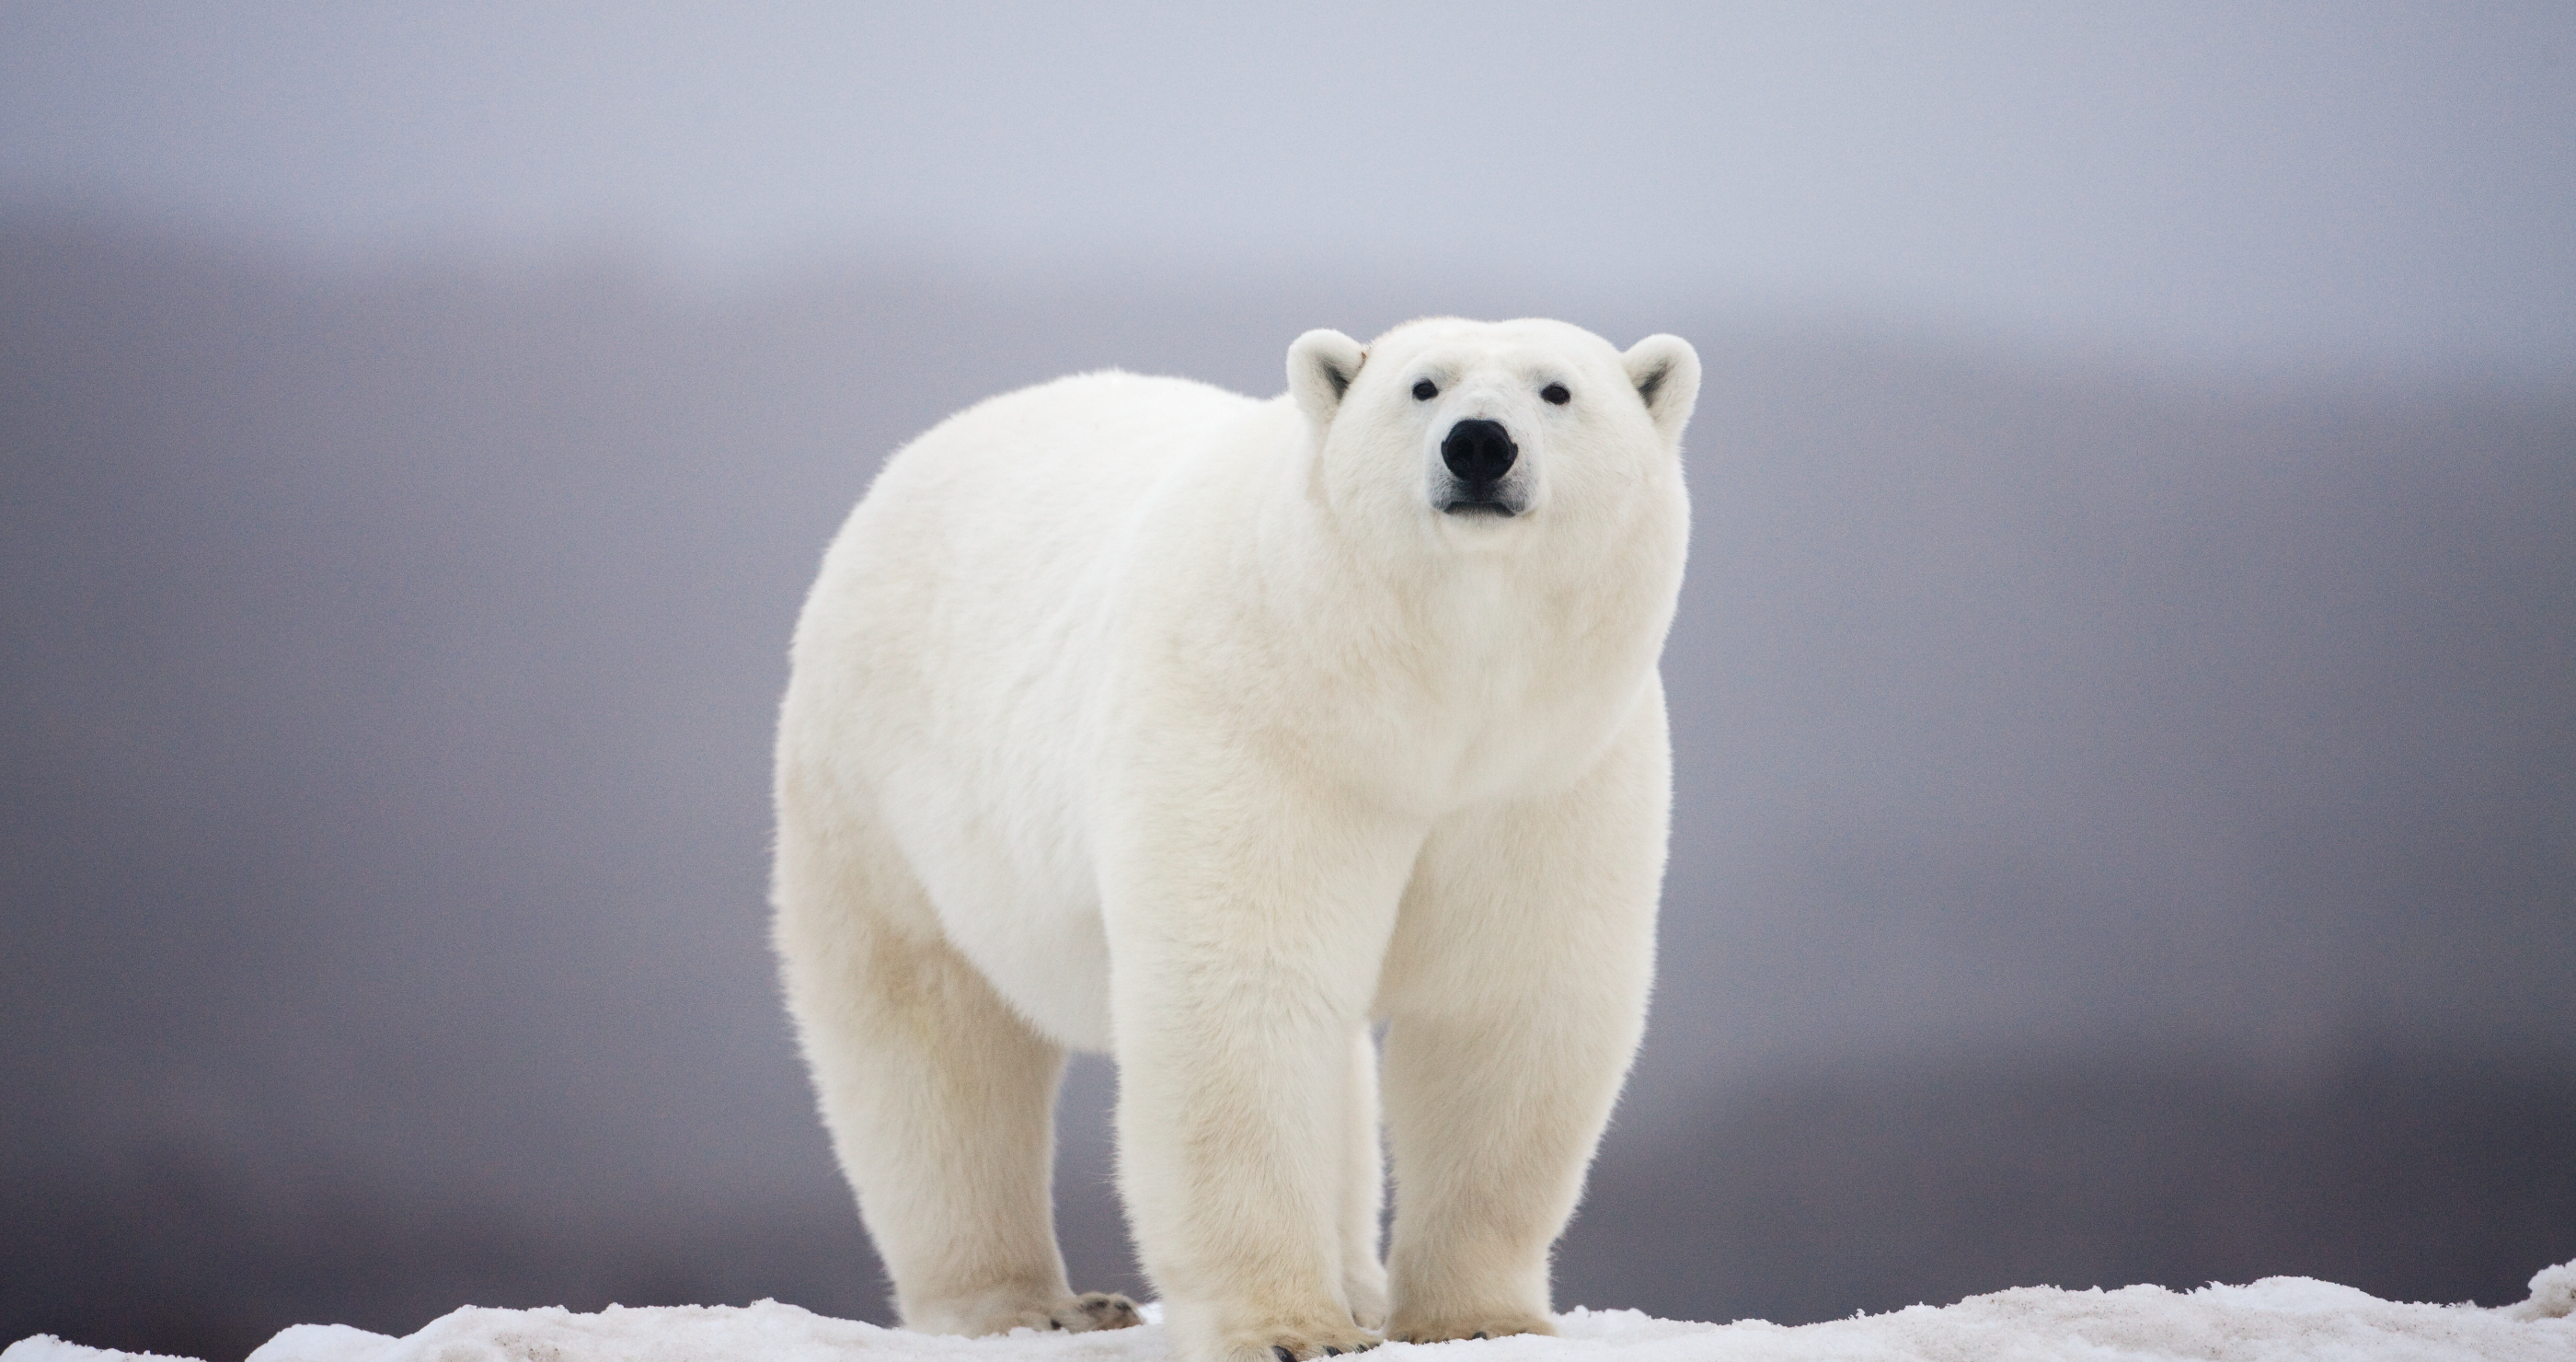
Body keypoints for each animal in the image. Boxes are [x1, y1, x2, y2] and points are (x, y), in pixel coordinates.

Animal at [771, 317, 1697, 1362]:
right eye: (1422, 386)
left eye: (1556, 390)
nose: (1478, 445)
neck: (1425, 705)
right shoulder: (1260, 718)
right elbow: (1246, 990)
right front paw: (1290, 1328)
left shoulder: (1545, 772)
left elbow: (1503, 1002)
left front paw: (1477, 1319)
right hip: (881, 781)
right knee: (928, 1029)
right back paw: (1024, 1302)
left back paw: (1356, 1285)